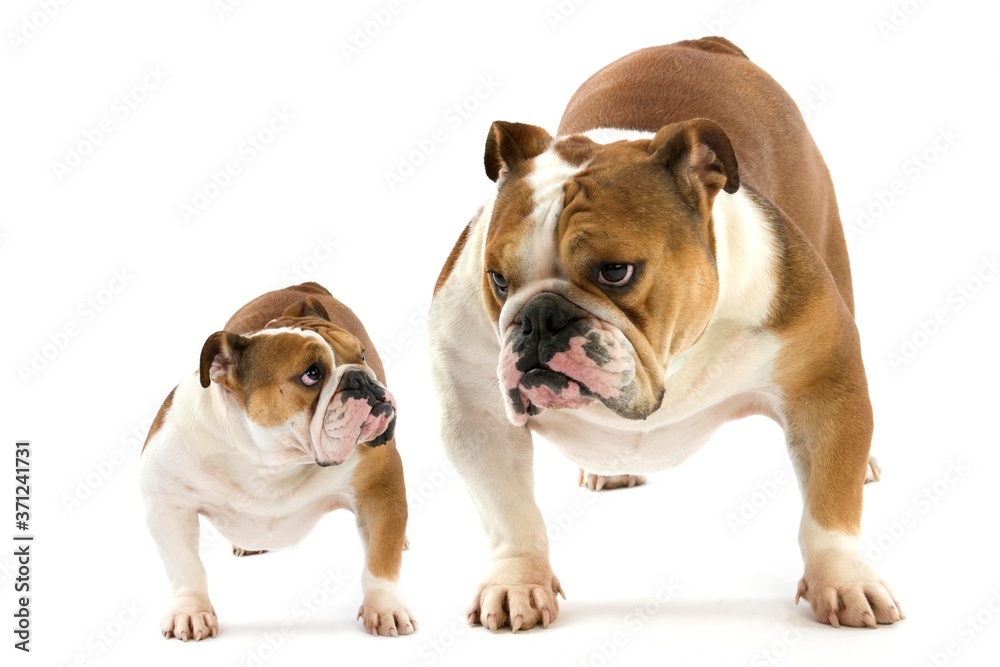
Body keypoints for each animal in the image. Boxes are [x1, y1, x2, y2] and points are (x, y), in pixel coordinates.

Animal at [140, 284, 414, 640]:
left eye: (362, 355)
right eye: (312, 375)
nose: (362, 378)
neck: (271, 459)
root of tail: (302, 286)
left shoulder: (379, 485)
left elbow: (380, 560)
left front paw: (385, 608)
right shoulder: (167, 503)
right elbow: (185, 566)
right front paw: (191, 612)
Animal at [428, 39, 900, 636]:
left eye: (616, 271)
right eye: (498, 279)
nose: (538, 318)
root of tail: (698, 44)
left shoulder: (822, 387)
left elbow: (827, 509)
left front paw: (843, 580)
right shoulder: (478, 419)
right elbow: (511, 514)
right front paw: (518, 583)